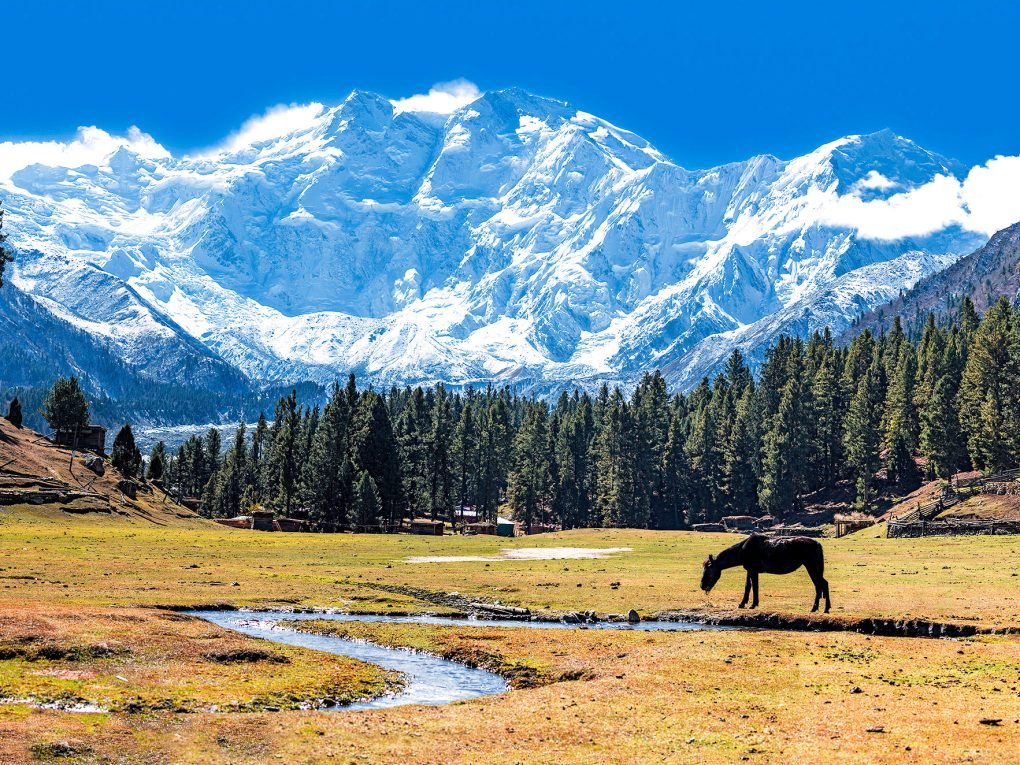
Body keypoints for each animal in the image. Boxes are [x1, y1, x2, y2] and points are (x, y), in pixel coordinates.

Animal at [697, 534, 832, 616]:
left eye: (708, 570)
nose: (702, 586)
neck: (742, 549)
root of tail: (818, 544)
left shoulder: (753, 570)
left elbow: (754, 587)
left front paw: (752, 604)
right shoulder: (750, 570)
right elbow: (748, 586)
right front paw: (743, 603)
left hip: (812, 567)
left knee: (821, 585)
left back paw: (819, 608)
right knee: (821, 585)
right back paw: (821, 608)